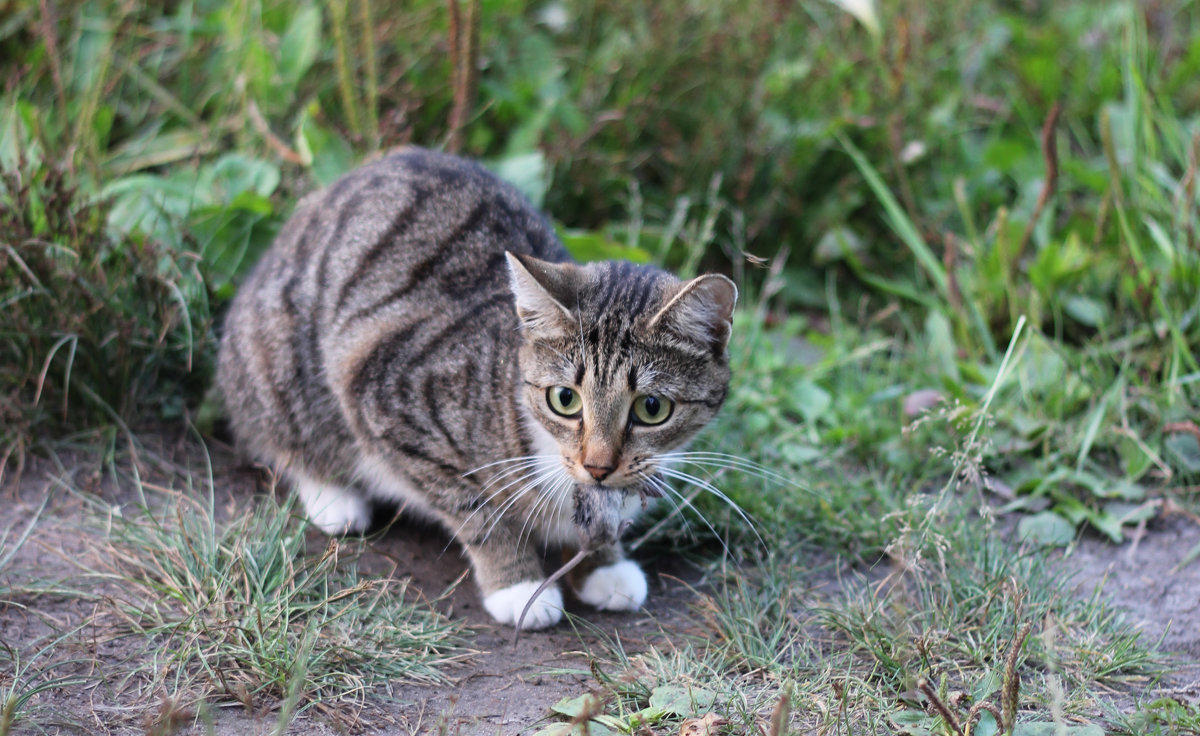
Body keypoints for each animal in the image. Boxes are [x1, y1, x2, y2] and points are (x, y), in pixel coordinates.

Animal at [219, 146, 734, 629]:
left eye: (652, 408)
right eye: (564, 399)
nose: (598, 467)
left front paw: (605, 565)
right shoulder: (386, 399)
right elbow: (475, 509)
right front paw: (518, 585)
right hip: (277, 363)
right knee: (284, 438)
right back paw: (335, 499)